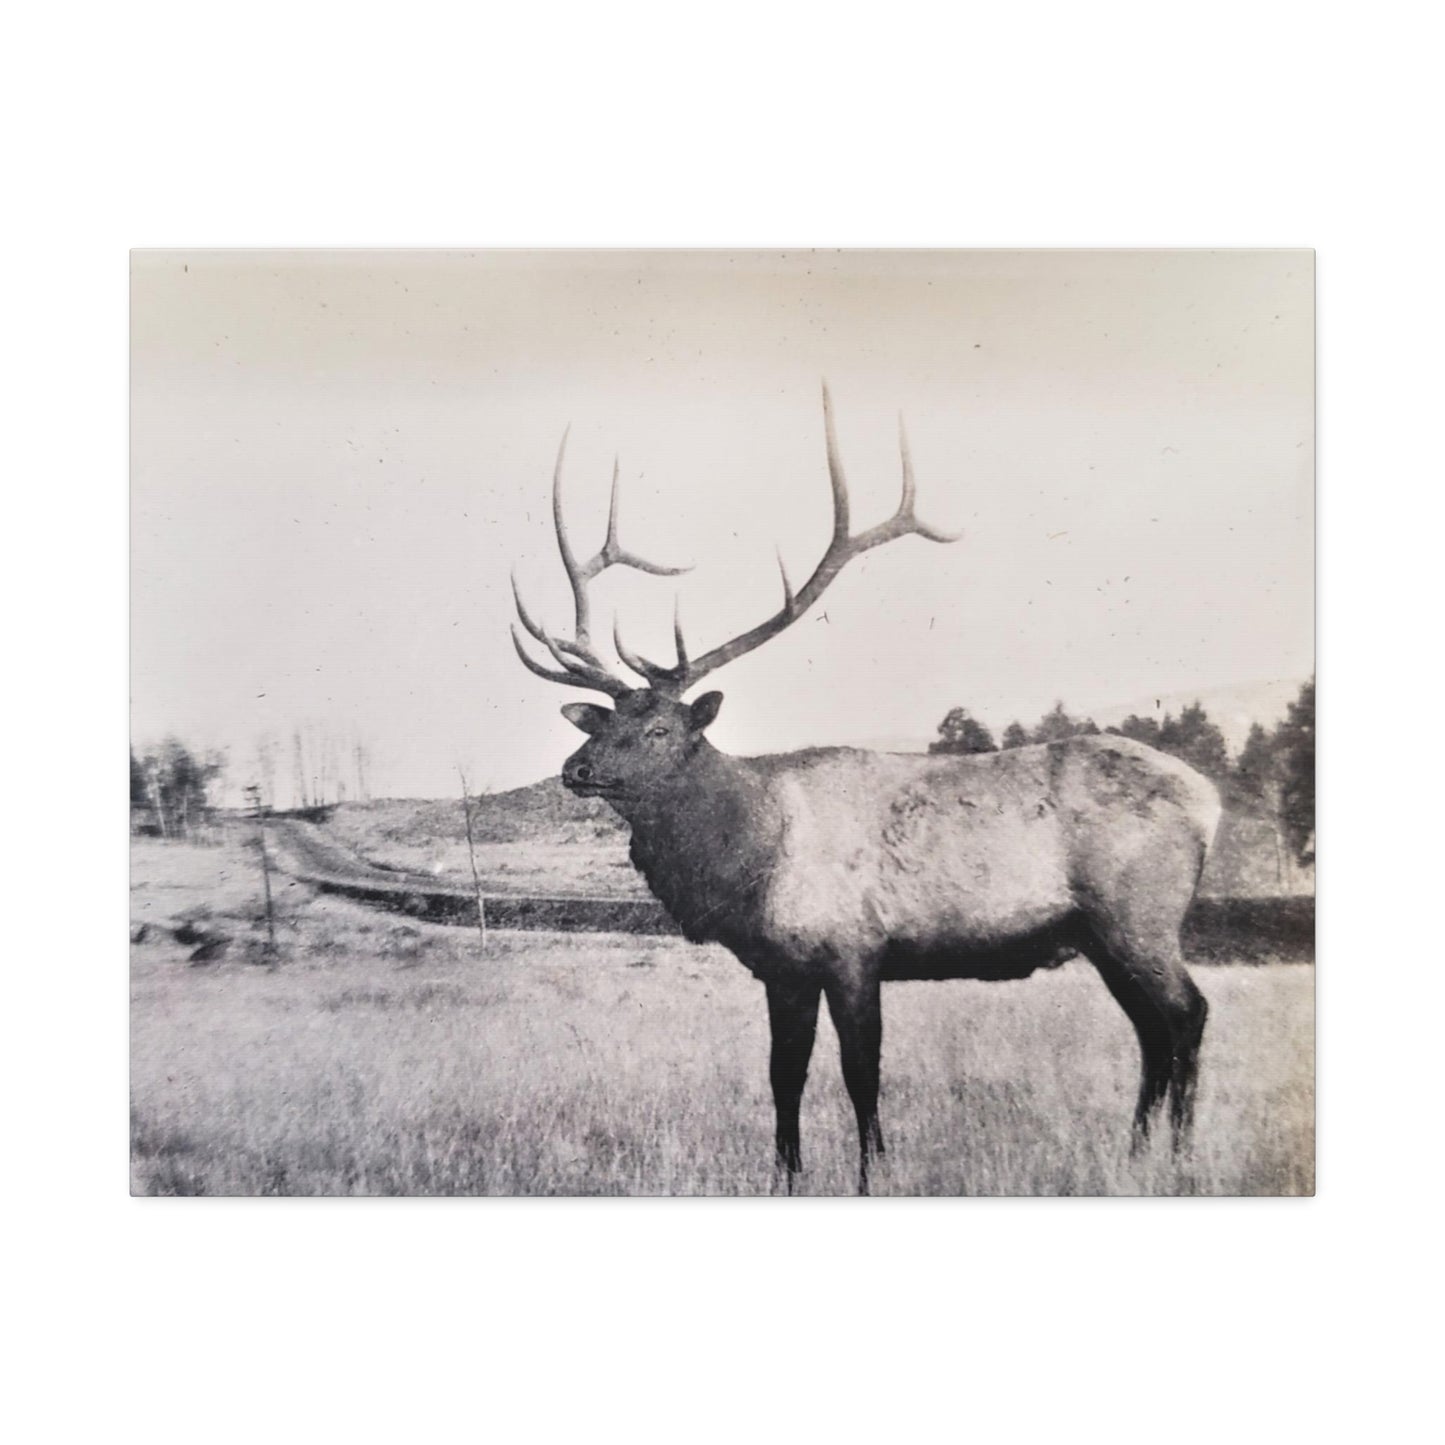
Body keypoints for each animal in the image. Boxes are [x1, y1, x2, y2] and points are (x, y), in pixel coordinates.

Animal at [508, 384, 1219, 1196]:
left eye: (658, 729)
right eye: (605, 721)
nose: (575, 769)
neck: (751, 858)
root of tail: (1209, 799)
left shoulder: (854, 948)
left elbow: (861, 1073)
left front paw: (871, 1173)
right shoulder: (782, 968)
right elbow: (783, 1074)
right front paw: (785, 1175)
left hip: (1140, 913)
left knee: (1187, 1014)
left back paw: (1180, 1157)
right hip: (1101, 936)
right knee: (1151, 1030)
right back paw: (1133, 1153)